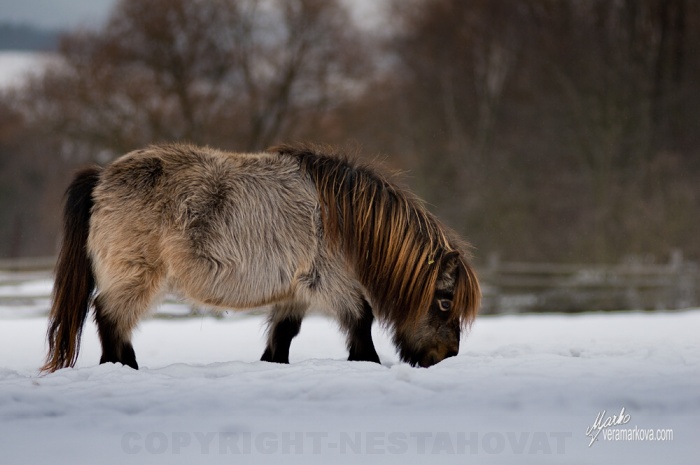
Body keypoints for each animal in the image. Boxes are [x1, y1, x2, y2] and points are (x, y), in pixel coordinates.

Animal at [41, 143, 482, 372]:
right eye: (445, 301)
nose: (447, 356)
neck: (343, 217)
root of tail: (101, 177)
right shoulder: (330, 283)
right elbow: (361, 321)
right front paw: (367, 363)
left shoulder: (295, 293)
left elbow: (283, 336)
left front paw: (271, 365)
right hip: (136, 277)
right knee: (109, 318)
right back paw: (121, 368)